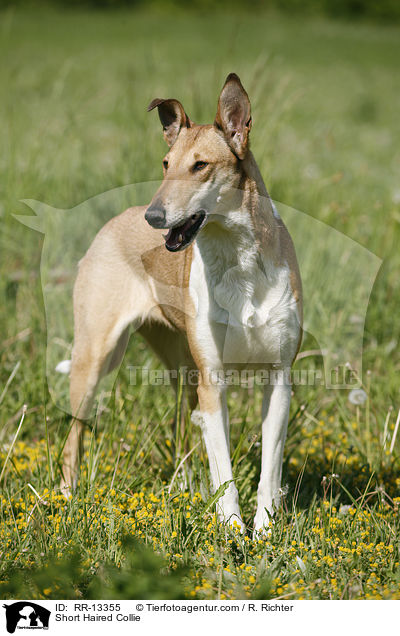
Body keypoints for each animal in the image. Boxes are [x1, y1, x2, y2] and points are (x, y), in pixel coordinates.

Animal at [59, 72, 302, 536]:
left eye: (200, 165)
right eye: (166, 164)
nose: (154, 218)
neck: (238, 261)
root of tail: (113, 221)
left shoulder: (279, 379)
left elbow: (269, 469)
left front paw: (263, 529)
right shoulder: (213, 381)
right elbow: (224, 467)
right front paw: (232, 529)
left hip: (181, 367)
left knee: (185, 431)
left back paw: (187, 488)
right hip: (95, 357)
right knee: (74, 432)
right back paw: (65, 495)